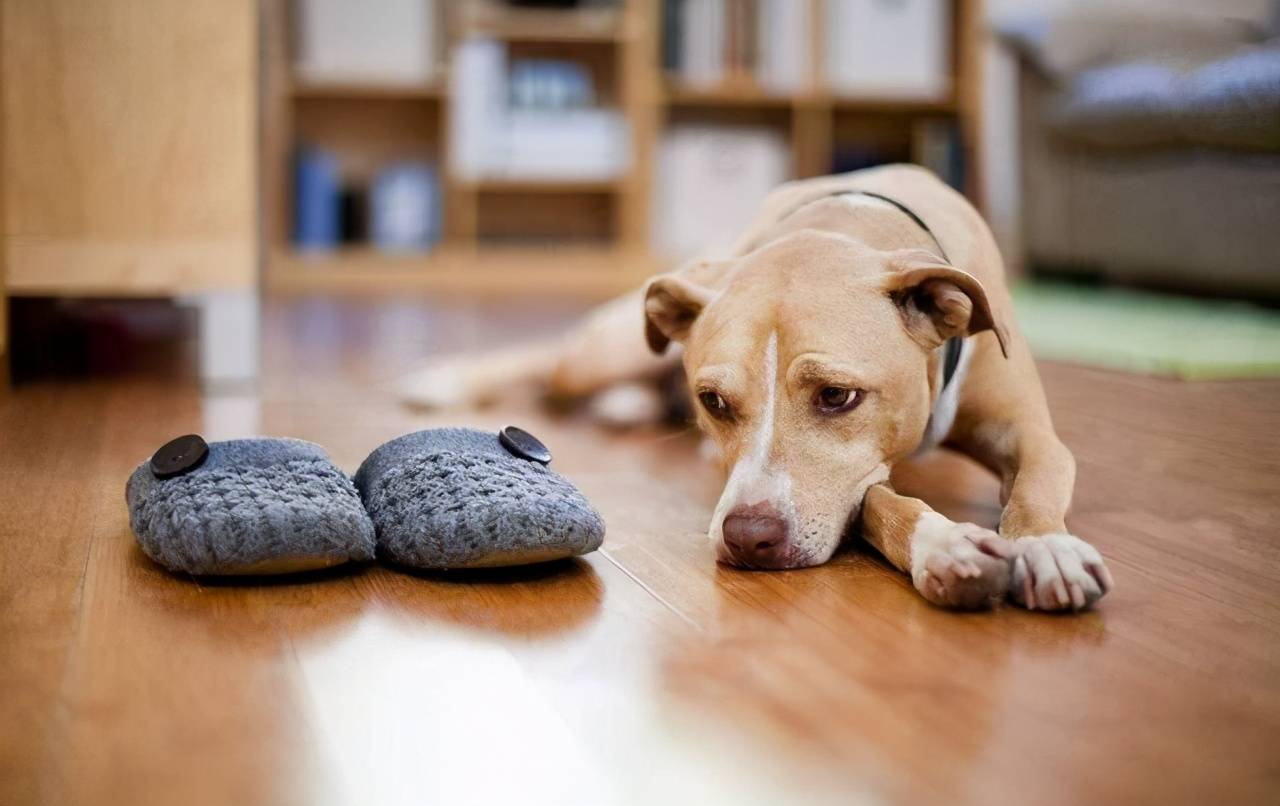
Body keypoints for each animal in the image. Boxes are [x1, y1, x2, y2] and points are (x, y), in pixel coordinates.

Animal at [399, 166, 1111, 611]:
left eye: (837, 396)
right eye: (714, 402)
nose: (748, 538)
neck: (847, 224)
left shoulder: (1028, 430)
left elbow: (1037, 483)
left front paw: (1045, 547)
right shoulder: (842, 484)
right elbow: (878, 503)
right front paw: (946, 545)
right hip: (608, 345)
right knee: (551, 364)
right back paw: (447, 378)